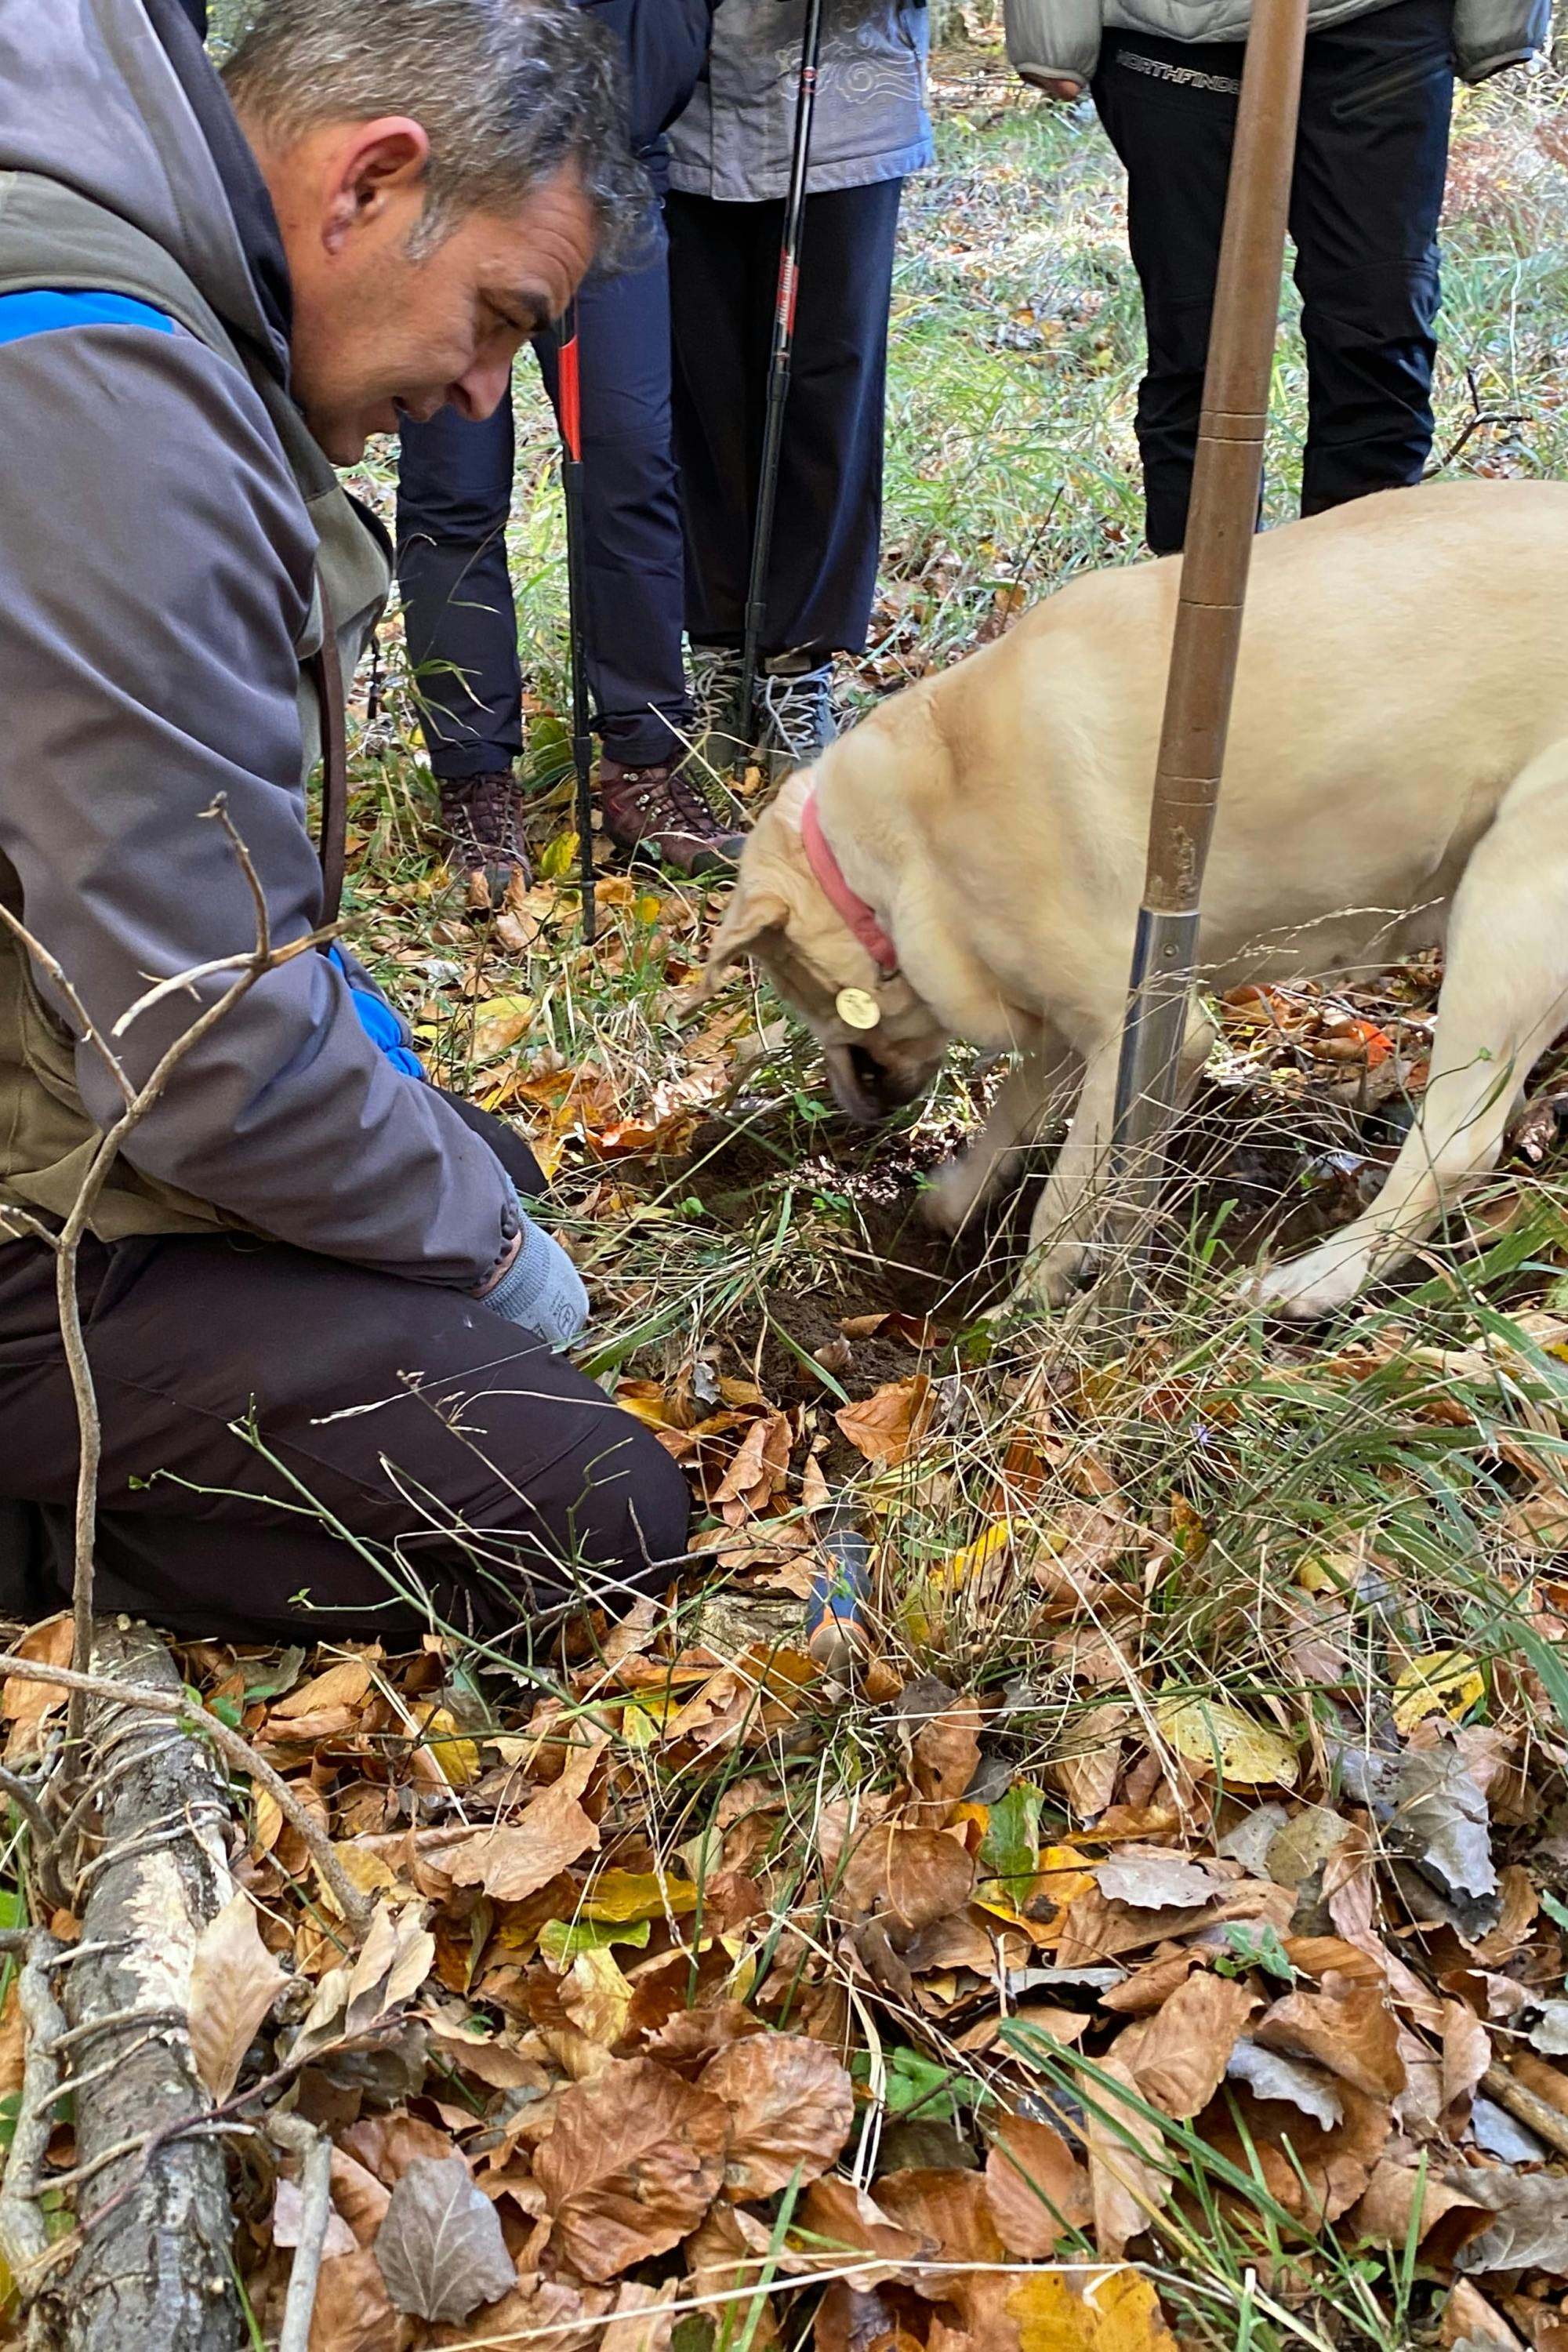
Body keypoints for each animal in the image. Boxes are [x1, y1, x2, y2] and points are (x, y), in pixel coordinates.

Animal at [705, 477, 1568, 1327]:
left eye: (796, 991)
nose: (852, 1108)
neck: (913, 828)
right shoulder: (1061, 1020)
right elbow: (1014, 1114)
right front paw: (959, 1202)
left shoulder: (1140, 1027)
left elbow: (1065, 1195)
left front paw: (1027, 1310)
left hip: (1509, 902)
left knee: (1457, 1145)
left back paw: (1313, 1281)